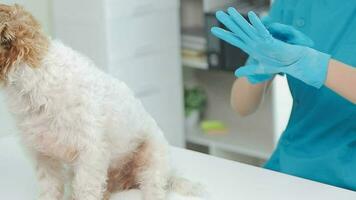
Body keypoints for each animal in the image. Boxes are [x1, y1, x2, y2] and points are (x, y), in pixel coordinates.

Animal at [0, 3, 200, 200]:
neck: (35, 83)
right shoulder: (43, 156)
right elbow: (50, 189)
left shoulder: (91, 153)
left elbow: (85, 190)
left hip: (152, 158)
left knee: (153, 186)